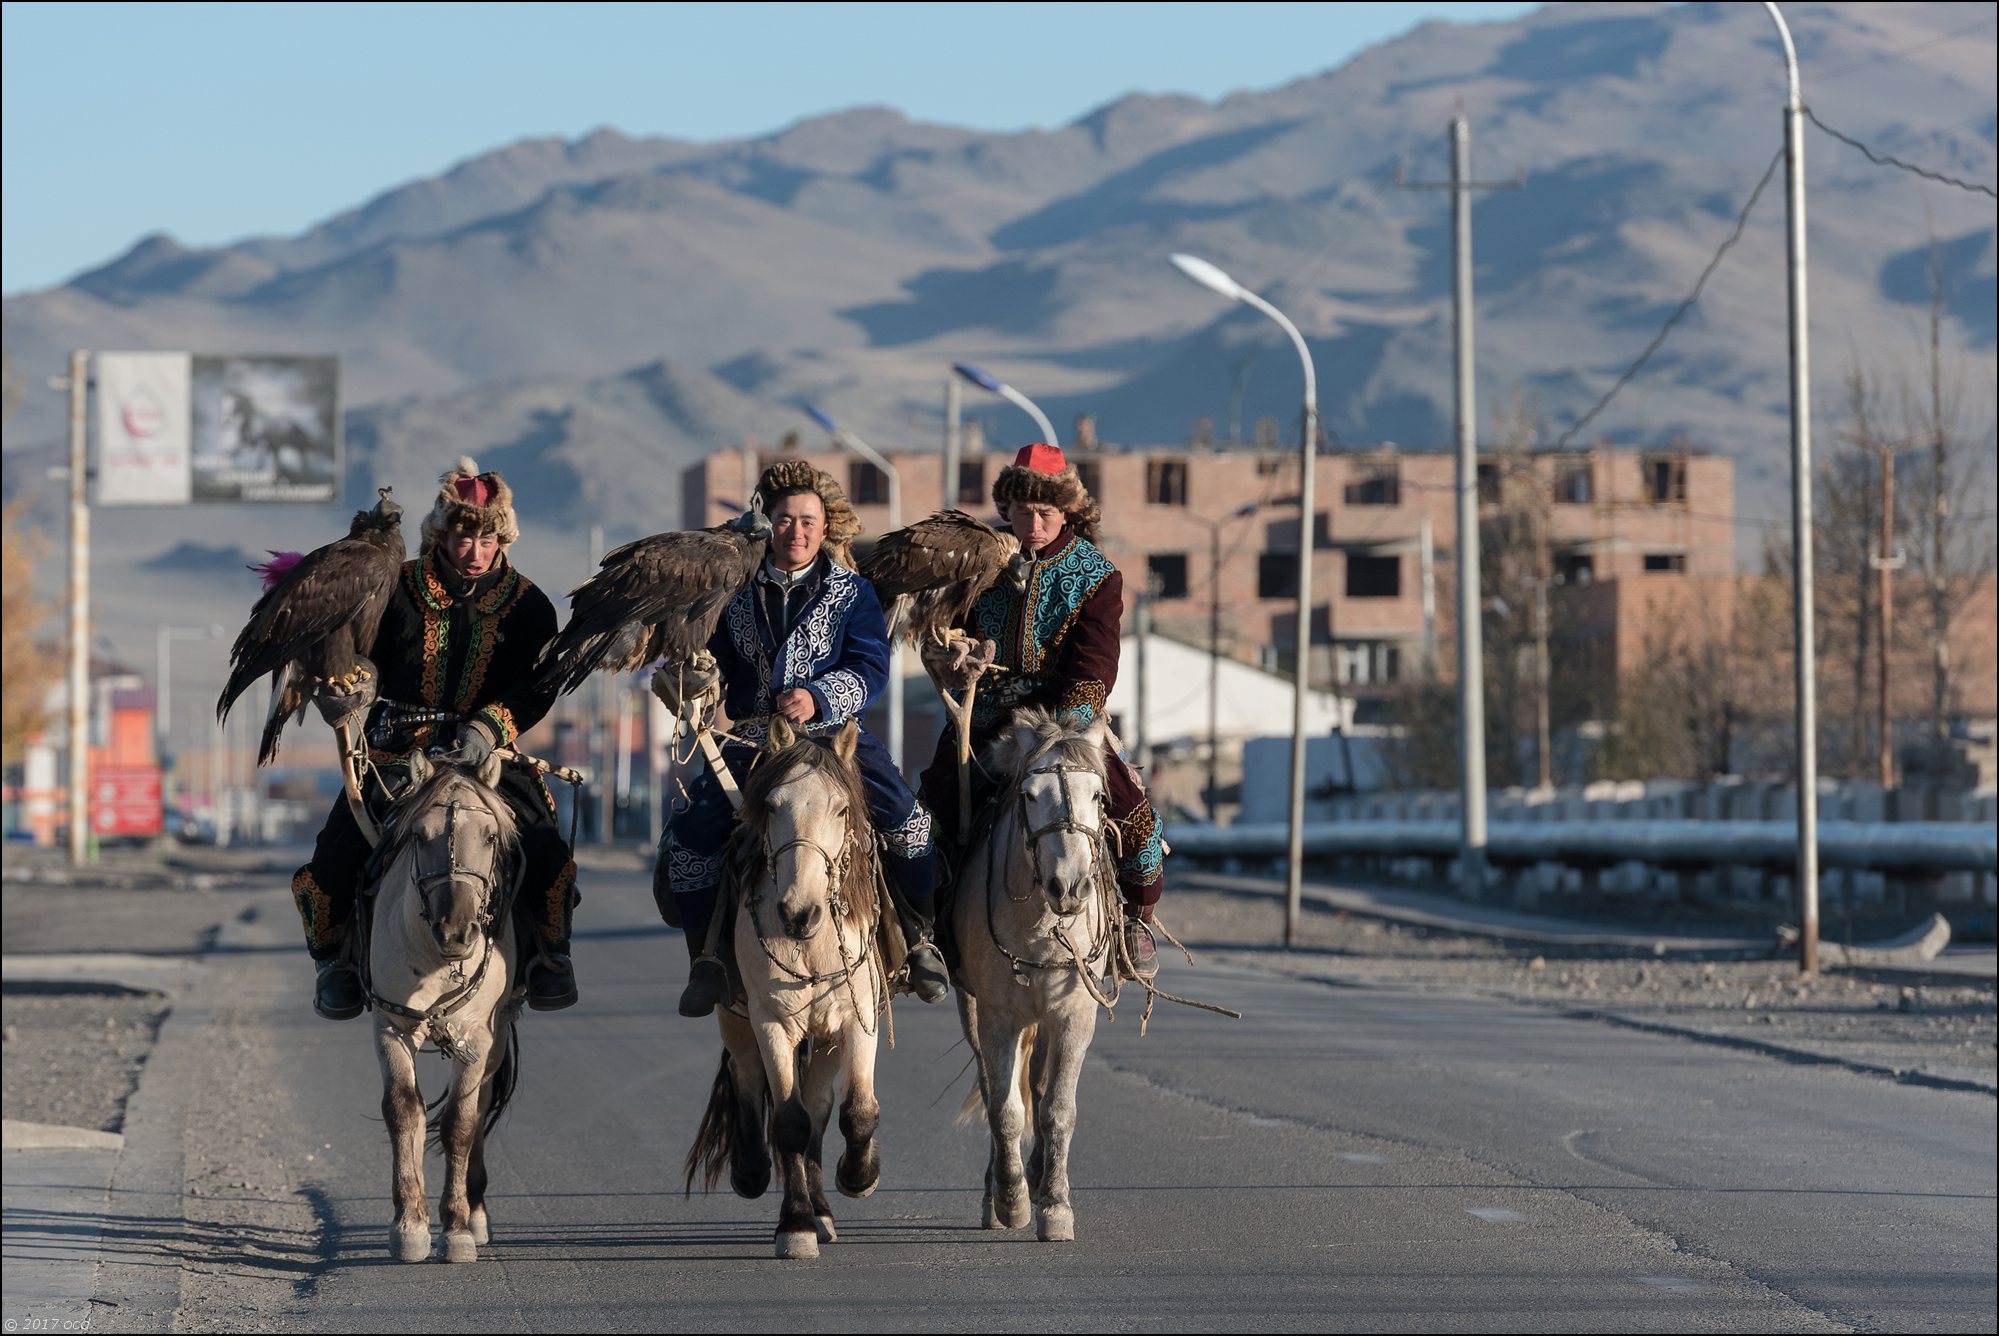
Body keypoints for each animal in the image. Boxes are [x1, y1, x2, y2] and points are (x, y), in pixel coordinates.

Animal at [363, 752, 523, 1264]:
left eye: (490, 836)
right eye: (419, 835)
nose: (457, 932)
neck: (438, 961)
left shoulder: (478, 1035)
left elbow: (460, 1123)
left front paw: (455, 1228)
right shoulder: (391, 1025)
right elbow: (403, 1109)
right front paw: (409, 1226)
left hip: (497, 1036)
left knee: (482, 1103)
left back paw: (476, 1214)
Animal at [687, 716, 891, 1256]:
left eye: (841, 808)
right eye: (774, 805)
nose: (799, 912)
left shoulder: (858, 1016)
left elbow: (856, 1111)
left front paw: (859, 1177)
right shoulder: (772, 1021)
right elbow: (788, 1121)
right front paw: (795, 1225)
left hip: (826, 1036)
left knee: (820, 1106)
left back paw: (822, 1209)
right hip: (736, 1015)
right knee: (745, 1077)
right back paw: (755, 1173)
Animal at [947, 708, 1119, 1240]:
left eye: (1098, 795)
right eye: (1029, 795)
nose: (1070, 886)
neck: (1044, 924)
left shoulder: (1075, 1014)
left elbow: (1057, 1109)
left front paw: (1056, 1206)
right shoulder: (996, 1016)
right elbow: (1004, 1109)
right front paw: (1012, 1201)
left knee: (1040, 1090)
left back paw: (1042, 1175)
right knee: (994, 1088)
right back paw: (1000, 1191)